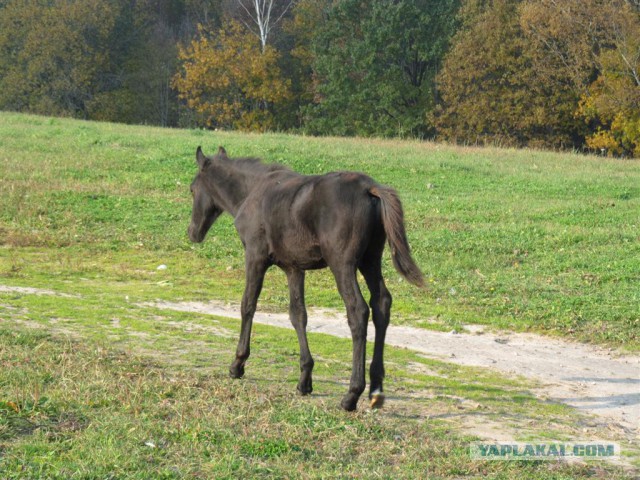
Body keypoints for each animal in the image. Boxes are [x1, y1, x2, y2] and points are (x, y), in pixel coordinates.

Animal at [188, 144, 422, 410]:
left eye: (192, 189)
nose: (193, 232)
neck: (252, 190)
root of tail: (369, 188)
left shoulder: (255, 256)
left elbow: (248, 304)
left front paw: (238, 364)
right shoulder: (293, 268)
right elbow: (298, 315)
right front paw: (305, 379)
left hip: (342, 264)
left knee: (358, 310)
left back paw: (352, 394)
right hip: (370, 260)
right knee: (381, 303)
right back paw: (376, 389)